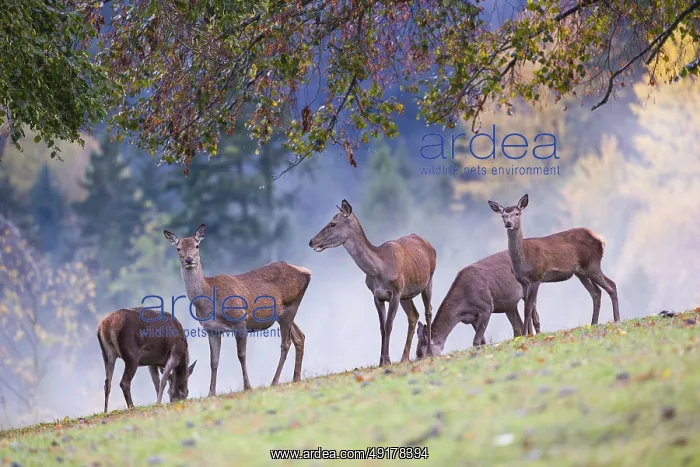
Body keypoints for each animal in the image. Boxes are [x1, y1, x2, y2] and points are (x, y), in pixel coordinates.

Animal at [163, 224, 311, 395]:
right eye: (178, 248)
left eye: (197, 245)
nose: (189, 259)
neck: (209, 300)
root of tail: (306, 271)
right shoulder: (211, 329)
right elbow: (214, 361)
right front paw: (211, 392)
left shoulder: (240, 319)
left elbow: (241, 355)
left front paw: (247, 386)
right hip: (283, 313)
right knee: (299, 336)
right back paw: (296, 377)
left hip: (291, 306)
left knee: (286, 343)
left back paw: (275, 381)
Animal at [308, 199, 437, 366]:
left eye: (333, 224)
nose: (311, 241)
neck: (379, 271)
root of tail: (430, 245)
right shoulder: (377, 296)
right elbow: (382, 327)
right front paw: (381, 361)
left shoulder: (395, 292)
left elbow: (389, 325)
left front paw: (387, 360)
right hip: (406, 294)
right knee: (414, 315)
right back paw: (404, 358)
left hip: (428, 279)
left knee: (428, 311)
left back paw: (429, 352)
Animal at [488, 194, 620, 337]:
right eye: (503, 215)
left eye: (517, 213)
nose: (508, 223)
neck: (523, 259)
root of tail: (601, 239)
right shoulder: (523, 282)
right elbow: (529, 309)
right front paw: (529, 334)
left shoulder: (536, 277)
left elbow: (528, 308)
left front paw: (525, 334)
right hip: (581, 272)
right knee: (596, 292)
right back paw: (593, 323)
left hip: (592, 264)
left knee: (611, 285)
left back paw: (617, 319)